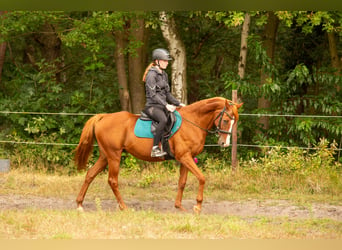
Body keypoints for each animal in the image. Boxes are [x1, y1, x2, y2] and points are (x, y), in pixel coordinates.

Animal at [75, 96, 243, 214]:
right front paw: (197, 206)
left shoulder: (185, 159)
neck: (192, 122)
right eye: (226, 120)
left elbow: (182, 182)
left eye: (234, 122)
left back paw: (79, 204)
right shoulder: (185, 157)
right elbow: (202, 178)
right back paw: (123, 207)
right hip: (114, 156)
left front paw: (179, 206)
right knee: (112, 181)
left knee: (90, 175)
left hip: (105, 156)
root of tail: (103, 117)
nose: (224, 143)